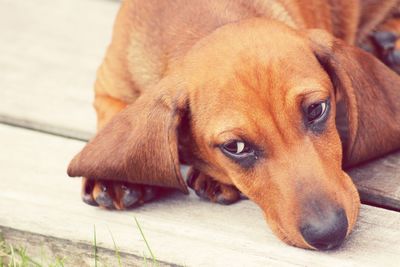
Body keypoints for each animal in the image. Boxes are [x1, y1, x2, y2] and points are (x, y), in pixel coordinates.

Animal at [67, 0, 400, 251]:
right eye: (235, 147)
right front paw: (109, 179)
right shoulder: (108, 82)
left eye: (317, 110)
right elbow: (113, 113)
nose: (329, 233)